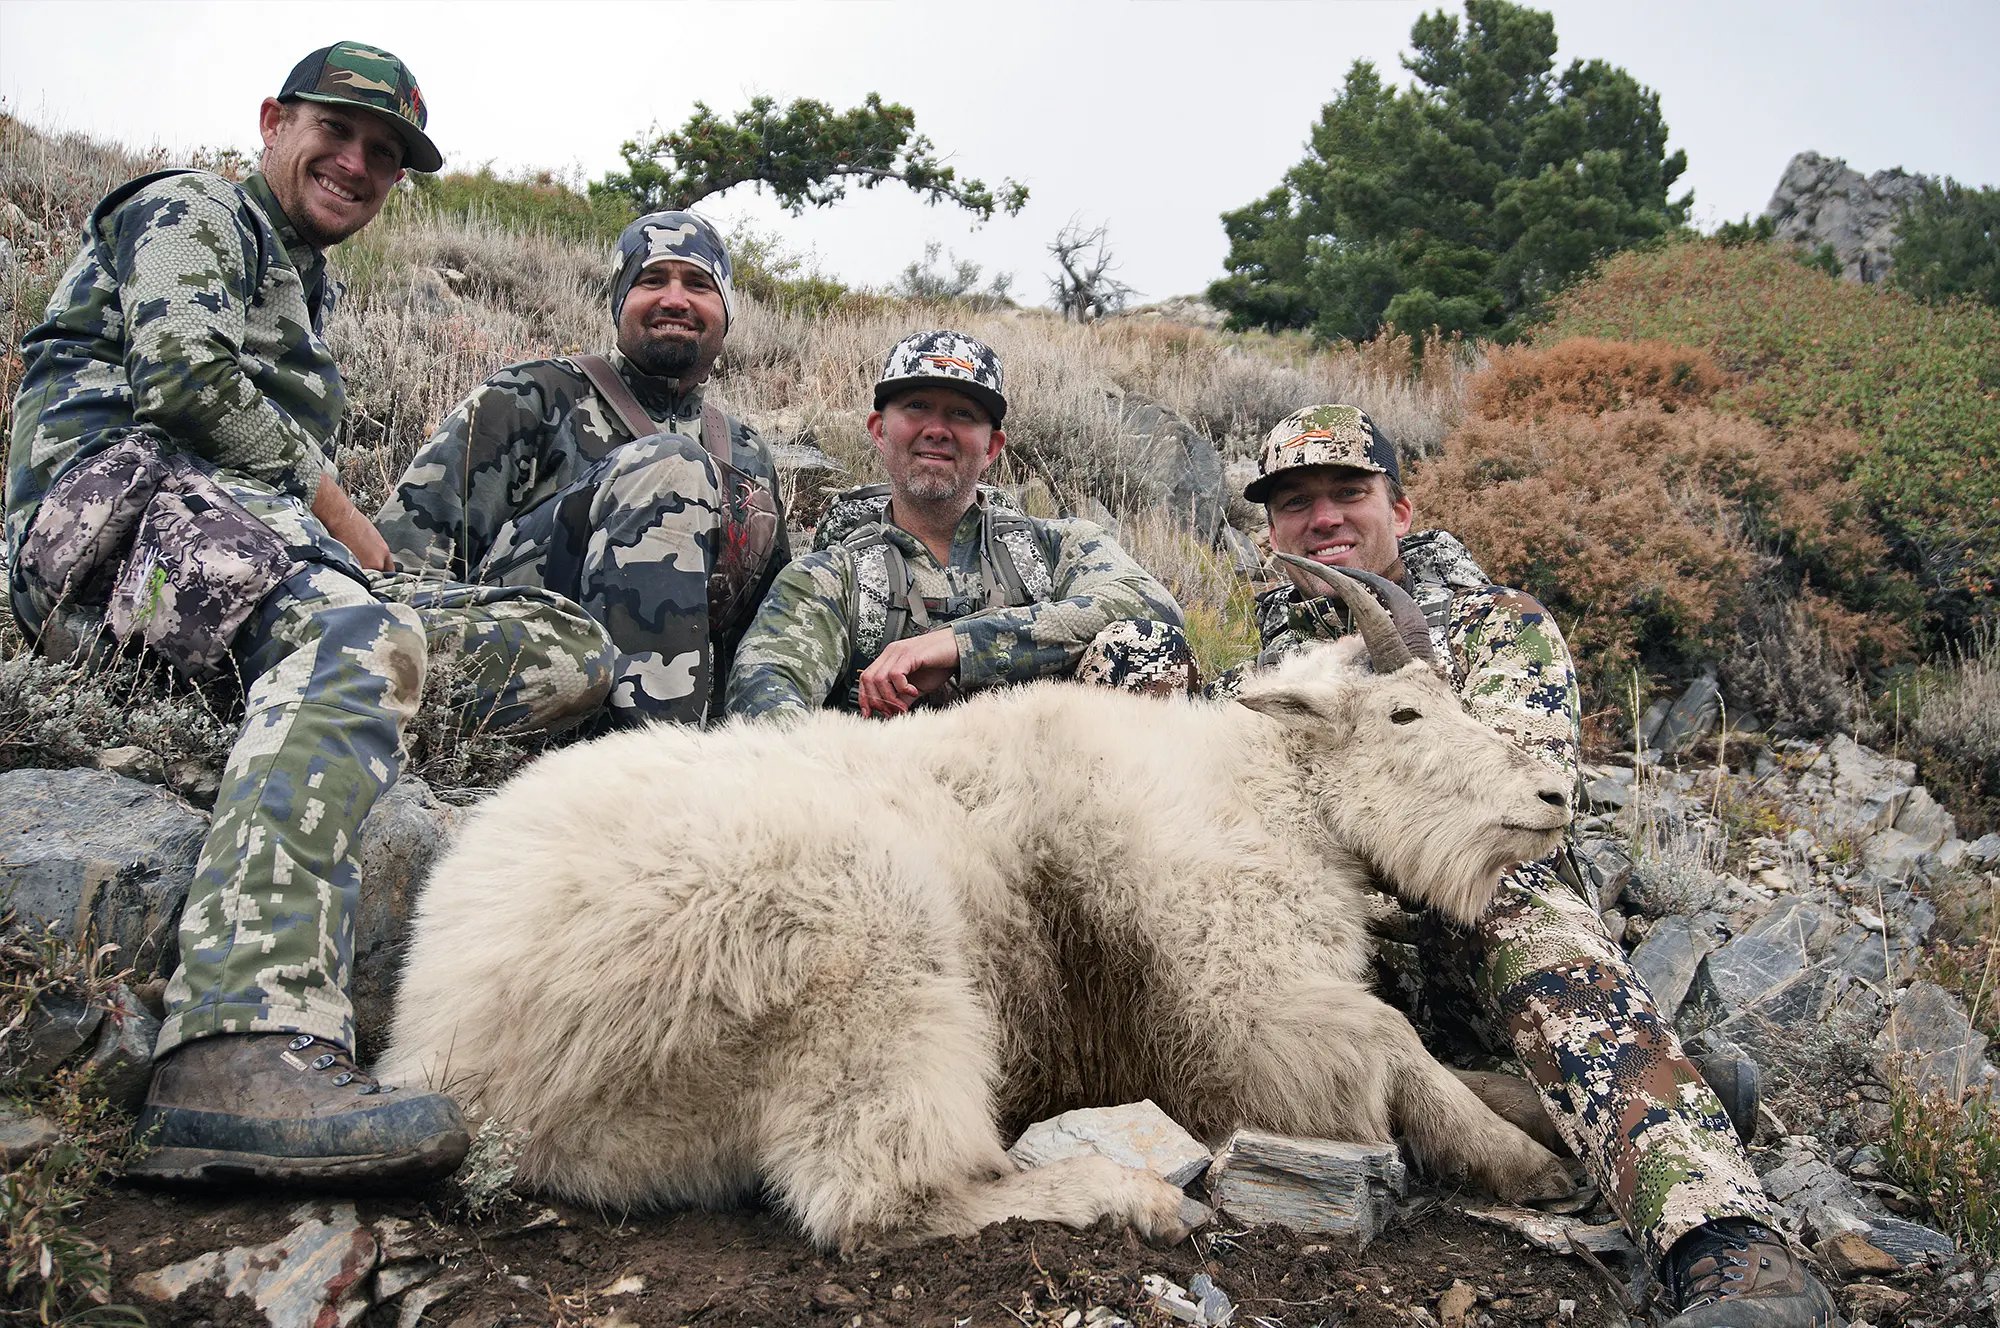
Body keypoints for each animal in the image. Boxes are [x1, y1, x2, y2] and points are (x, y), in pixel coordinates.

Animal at [378, 564, 1576, 1248]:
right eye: (1406, 712)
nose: (1553, 796)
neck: (1270, 788)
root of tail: (453, 1046)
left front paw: (1522, 1114)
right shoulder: (1245, 1005)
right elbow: (1385, 1042)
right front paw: (1529, 1165)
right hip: (878, 971)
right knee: (874, 1199)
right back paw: (1137, 1196)